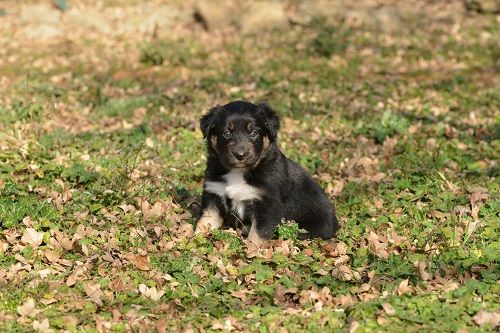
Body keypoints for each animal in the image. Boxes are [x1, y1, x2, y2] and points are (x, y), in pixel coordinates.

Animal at [196, 100, 340, 243]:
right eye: (226, 133)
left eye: (254, 133)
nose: (240, 155)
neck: (238, 171)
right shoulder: (213, 193)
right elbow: (205, 222)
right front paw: (194, 238)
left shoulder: (267, 204)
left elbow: (257, 234)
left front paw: (250, 248)